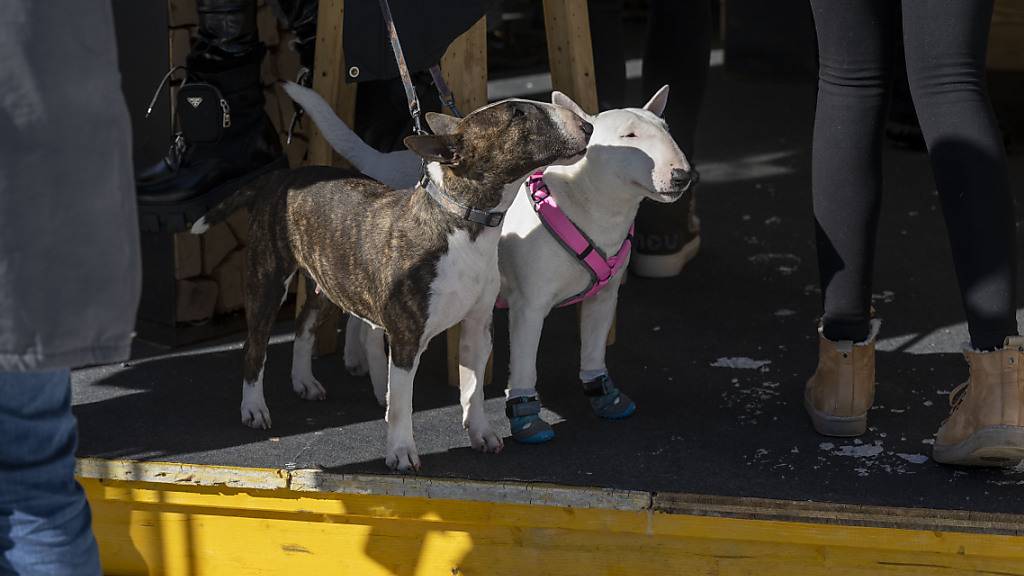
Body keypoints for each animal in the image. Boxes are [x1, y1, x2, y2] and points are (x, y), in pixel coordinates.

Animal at [192, 97, 593, 467]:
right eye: (516, 113)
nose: (587, 126)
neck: (462, 225)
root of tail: (279, 178)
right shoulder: (406, 337)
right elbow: (403, 403)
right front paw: (401, 452)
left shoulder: (478, 327)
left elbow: (474, 387)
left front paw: (481, 433)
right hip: (269, 279)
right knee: (255, 346)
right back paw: (253, 407)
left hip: (329, 277)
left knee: (305, 325)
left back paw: (304, 380)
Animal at [284, 80, 692, 440]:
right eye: (629, 137)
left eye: (667, 131)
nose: (683, 175)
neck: (593, 209)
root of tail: (384, 159)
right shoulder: (529, 306)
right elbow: (525, 363)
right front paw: (527, 418)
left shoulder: (603, 299)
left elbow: (593, 349)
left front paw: (603, 395)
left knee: (362, 317)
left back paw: (357, 361)